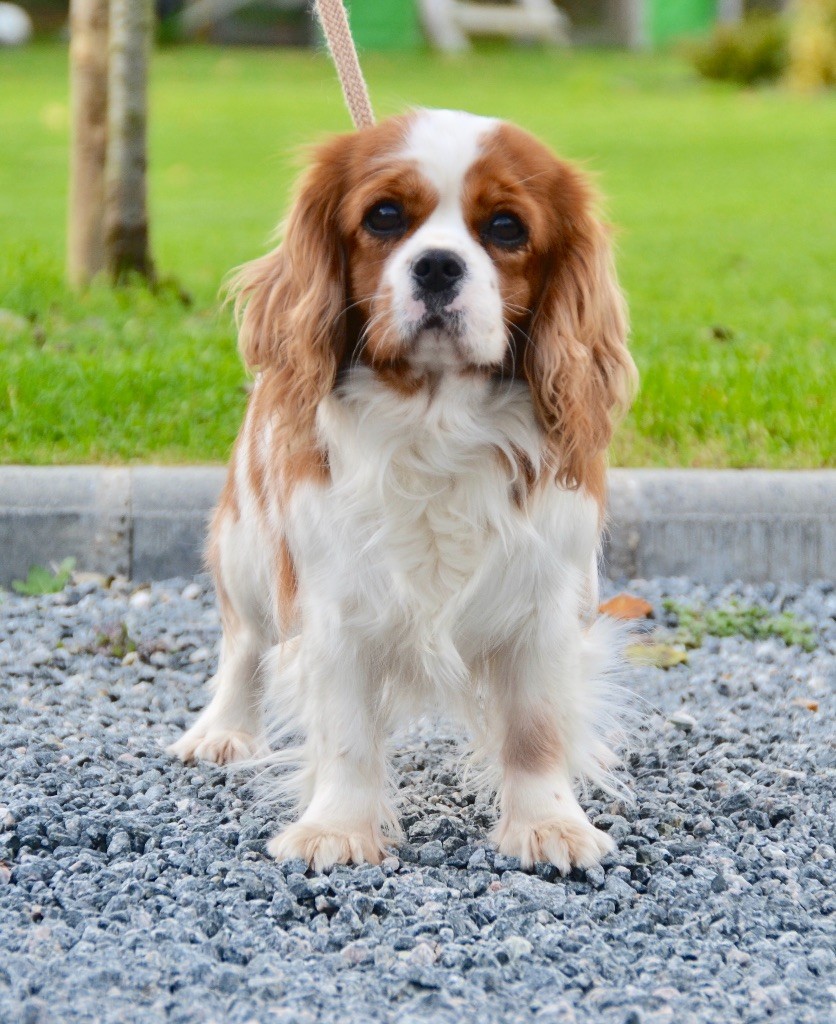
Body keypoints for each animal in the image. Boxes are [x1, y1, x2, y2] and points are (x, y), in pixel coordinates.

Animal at [171, 105, 639, 872]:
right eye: (385, 216)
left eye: (506, 227)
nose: (438, 264)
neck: (435, 421)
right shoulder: (336, 604)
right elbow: (347, 733)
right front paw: (338, 828)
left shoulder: (543, 602)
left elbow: (536, 728)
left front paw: (548, 823)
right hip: (247, 549)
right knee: (244, 645)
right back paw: (223, 732)